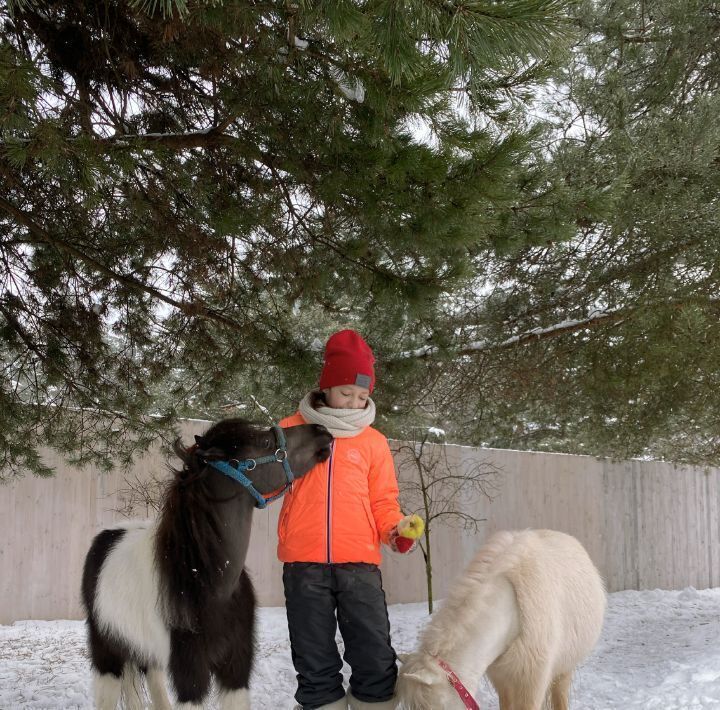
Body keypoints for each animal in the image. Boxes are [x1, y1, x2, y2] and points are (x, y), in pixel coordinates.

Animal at [81, 420, 332, 708]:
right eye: (265, 442)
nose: (321, 430)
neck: (207, 579)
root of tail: (107, 536)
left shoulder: (237, 668)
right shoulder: (191, 675)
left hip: (147, 651)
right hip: (107, 651)